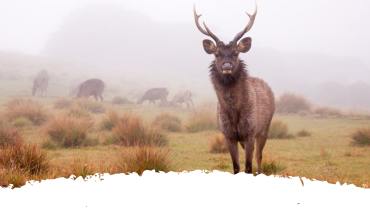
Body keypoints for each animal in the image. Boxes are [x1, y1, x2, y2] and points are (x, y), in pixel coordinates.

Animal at [194, 3, 274, 175]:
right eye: (216, 54)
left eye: (236, 53)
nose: (227, 66)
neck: (234, 114)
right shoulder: (228, 135)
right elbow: (236, 167)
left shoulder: (251, 131)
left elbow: (248, 166)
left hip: (265, 127)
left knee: (259, 156)